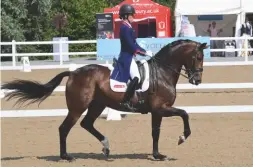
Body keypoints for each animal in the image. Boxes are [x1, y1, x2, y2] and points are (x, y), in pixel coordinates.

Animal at [0, 38, 209, 160]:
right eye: (198, 56)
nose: (197, 80)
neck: (163, 72)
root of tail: (73, 72)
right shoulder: (161, 108)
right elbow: (184, 114)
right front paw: (182, 138)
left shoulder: (157, 111)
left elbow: (155, 133)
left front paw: (157, 155)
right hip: (77, 107)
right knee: (65, 128)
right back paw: (66, 156)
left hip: (97, 105)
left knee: (86, 124)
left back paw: (106, 148)